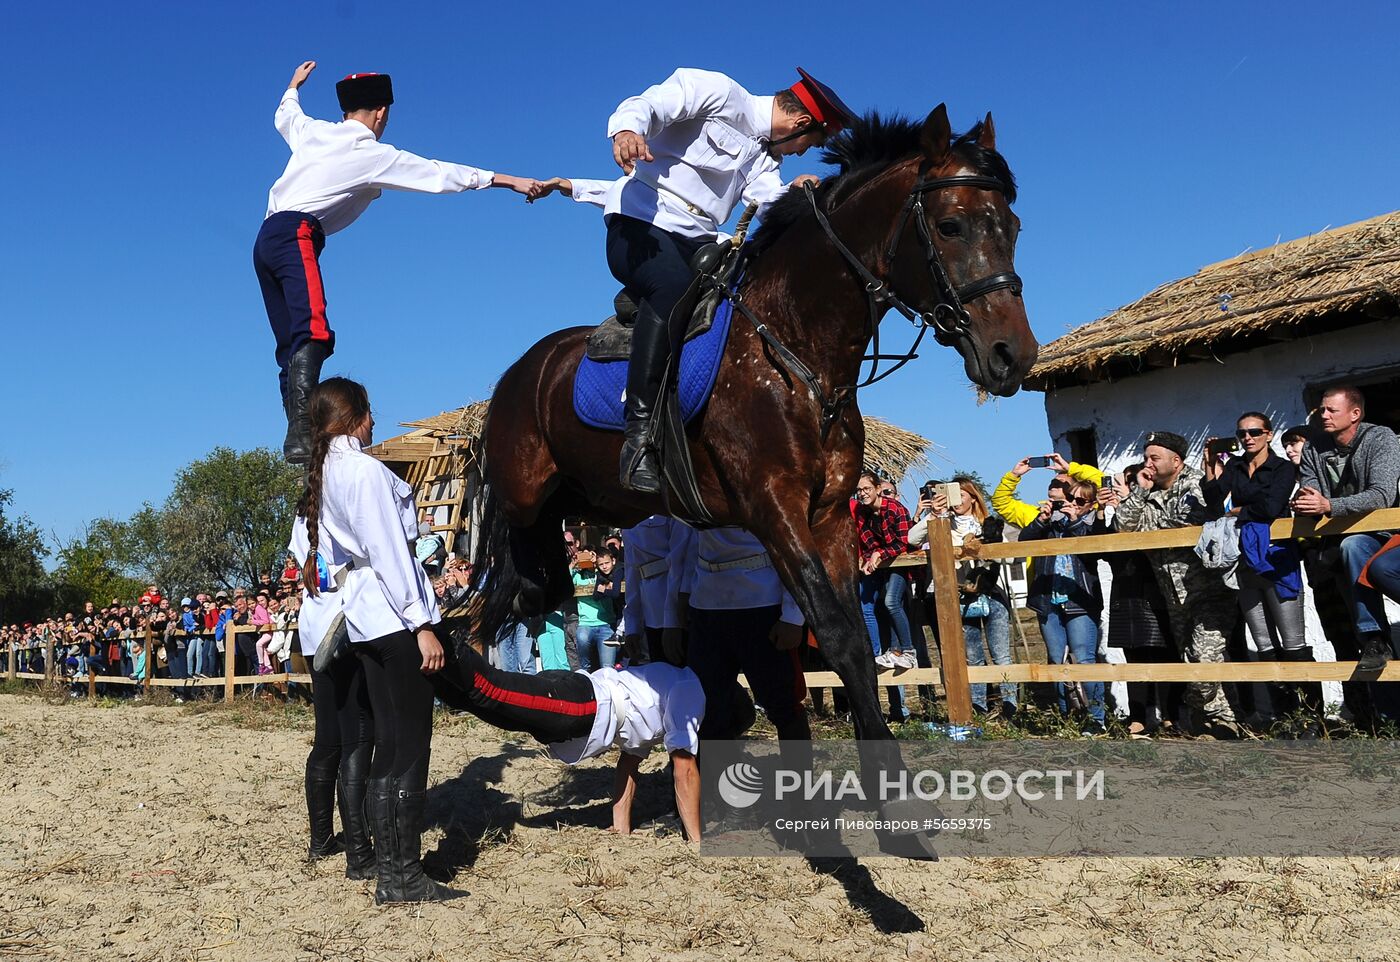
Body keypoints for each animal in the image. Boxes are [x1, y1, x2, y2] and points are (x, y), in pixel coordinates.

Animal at [476, 105, 1036, 856]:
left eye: (1012, 227)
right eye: (950, 226)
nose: (1013, 356)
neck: (798, 348)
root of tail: (518, 373)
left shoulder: (829, 517)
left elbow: (853, 649)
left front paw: (889, 805)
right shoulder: (775, 511)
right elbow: (838, 634)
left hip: (570, 510)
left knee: (535, 595)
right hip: (522, 503)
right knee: (503, 597)